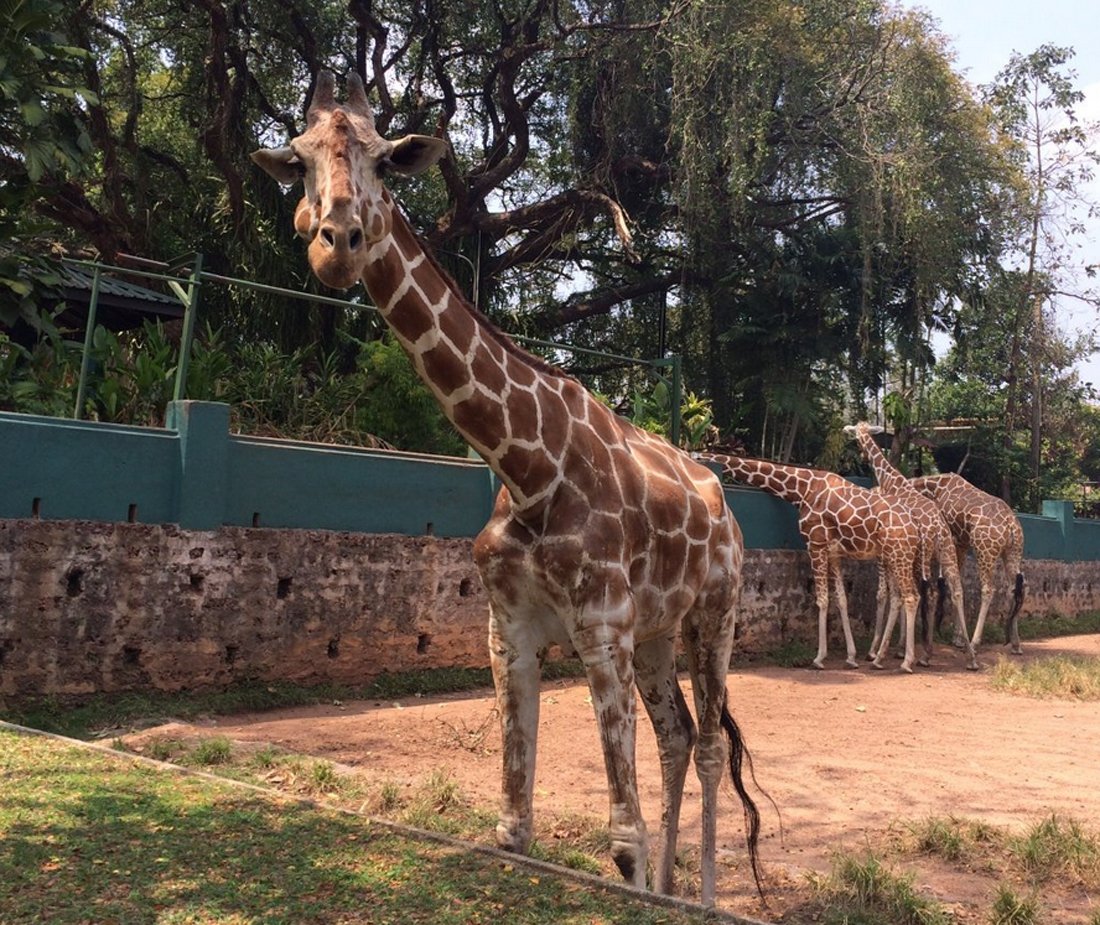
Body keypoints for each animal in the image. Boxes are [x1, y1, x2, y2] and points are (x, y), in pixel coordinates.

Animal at [251, 71, 763, 905]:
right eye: (297, 160)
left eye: (387, 160)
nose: (337, 245)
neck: (527, 468)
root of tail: (728, 512)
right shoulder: (509, 631)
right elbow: (513, 831)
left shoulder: (601, 626)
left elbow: (621, 839)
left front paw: (642, 877)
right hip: (658, 632)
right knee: (678, 736)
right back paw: (670, 888)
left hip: (713, 615)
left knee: (714, 743)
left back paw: (706, 898)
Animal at [698, 453, 923, 672]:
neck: (803, 488)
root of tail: (915, 525)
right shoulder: (833, 553)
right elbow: (841, 600)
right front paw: (851, 657)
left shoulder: (815, 544)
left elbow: (822, 600)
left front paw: (819, 658)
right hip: (892, 556)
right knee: (899, 598)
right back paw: (879, 658)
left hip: (899, 553)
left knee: (911, 597)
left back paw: (906, 662)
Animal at [844, 423, 979, 671]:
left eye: (856, 436)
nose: (860, 453)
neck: (891, 480)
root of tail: (937, 527)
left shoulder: (889, 552)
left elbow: (888, 594)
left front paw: (879, 651)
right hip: (945, 552)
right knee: (954, 590)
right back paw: (966, 657)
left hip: (921, 557)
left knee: (922, 593)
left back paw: (914, 655)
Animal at [908, 472, 1026, 654]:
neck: (934, 489)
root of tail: (1011, 524)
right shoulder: (962, 542)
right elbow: (960, 583)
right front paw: (958, 638)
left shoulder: (955, 540)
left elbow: (955, 584)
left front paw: (958, 639)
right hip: (1013, 552)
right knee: (1015, 588)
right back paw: (1015, 644)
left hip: (985, 551)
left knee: (988, 589)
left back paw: (974, 643)